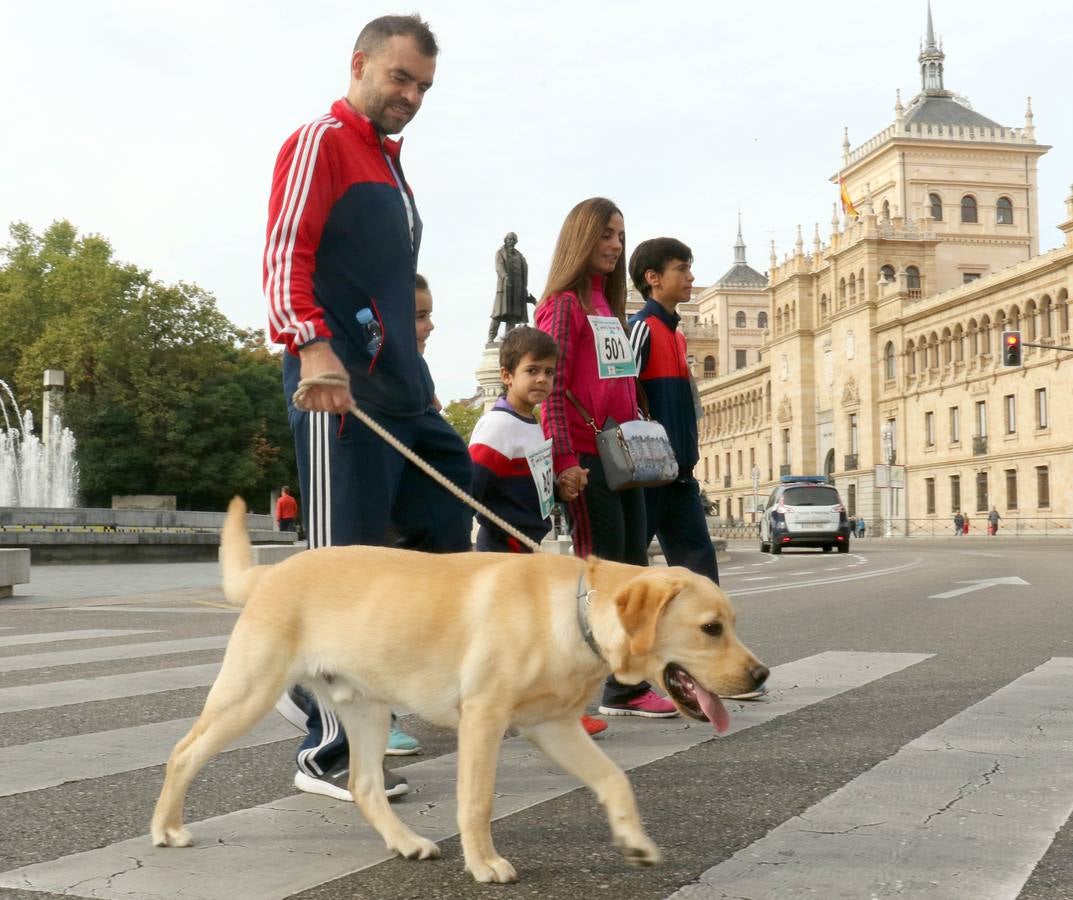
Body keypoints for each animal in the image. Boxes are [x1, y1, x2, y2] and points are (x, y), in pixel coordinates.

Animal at [153, 499, 772, 888]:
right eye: (711, 628)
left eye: (732, 624)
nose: (762, 675)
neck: (574, 612)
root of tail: (270, 573)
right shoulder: (483, 718)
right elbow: (477, 801)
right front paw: (485, 864)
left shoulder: (553, 728)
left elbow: (615, 780)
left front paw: (634, 841)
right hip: (248, 691)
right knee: (184, 752)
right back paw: (165, 828)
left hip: (367, 707)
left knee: (364, 784)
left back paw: (407, 842)